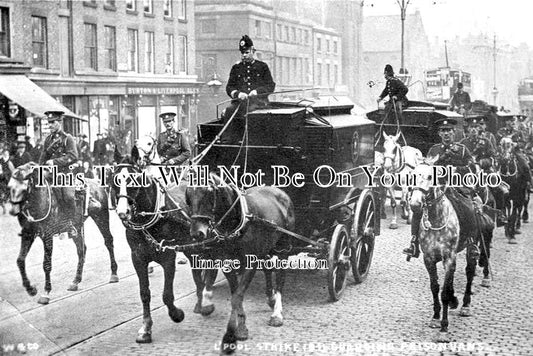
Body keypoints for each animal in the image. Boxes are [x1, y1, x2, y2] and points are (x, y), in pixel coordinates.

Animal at [8, 163, 118, 304]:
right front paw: (30, 289)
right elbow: (20, 260)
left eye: (23, 188)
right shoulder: (28, 234)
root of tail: (96, 182)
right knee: (81, 249)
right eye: (10, 187)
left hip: (101, 216)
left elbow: (46, 264)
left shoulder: (47, 235)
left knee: (108, 241)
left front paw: (46, 293)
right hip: (77, 227)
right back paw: (75, 281)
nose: (13, 211)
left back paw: (114, 274)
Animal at [112, 143, 220, 344]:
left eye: (133, 180)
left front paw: (177, 314)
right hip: (191, 246)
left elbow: (167, 295)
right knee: (197, 272)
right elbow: (144, 294)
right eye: (114, 180)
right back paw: (200, 302)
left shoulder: (168, 255)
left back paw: (207, 301)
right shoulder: (138, 258)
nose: (123, 212)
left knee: (211, 266)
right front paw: (146, 328)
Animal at [186, 172, 296, 354]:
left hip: (283, 247)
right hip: (266, 247)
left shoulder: (250, 263)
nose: (197, 233)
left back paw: (277, 313)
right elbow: (235, 295)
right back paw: (271, 297)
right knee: (267, 268)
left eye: (208, 192)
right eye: (188, 195)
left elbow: (237, 297)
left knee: (280, 276)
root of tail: (279, 192)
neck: (236, 224)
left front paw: (233, 333)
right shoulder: (228, 264)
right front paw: (238, 328)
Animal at [410, 161, 492, 340]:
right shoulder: (429, 259)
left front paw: (444, 328)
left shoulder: (448, 258)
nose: (415, 204)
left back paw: (466, 305)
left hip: (471, 248)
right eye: (412, 175)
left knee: (470, 271)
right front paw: (435, 317)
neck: (436, 219)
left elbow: (445, 292)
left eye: (430, 176)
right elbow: (435, 287)